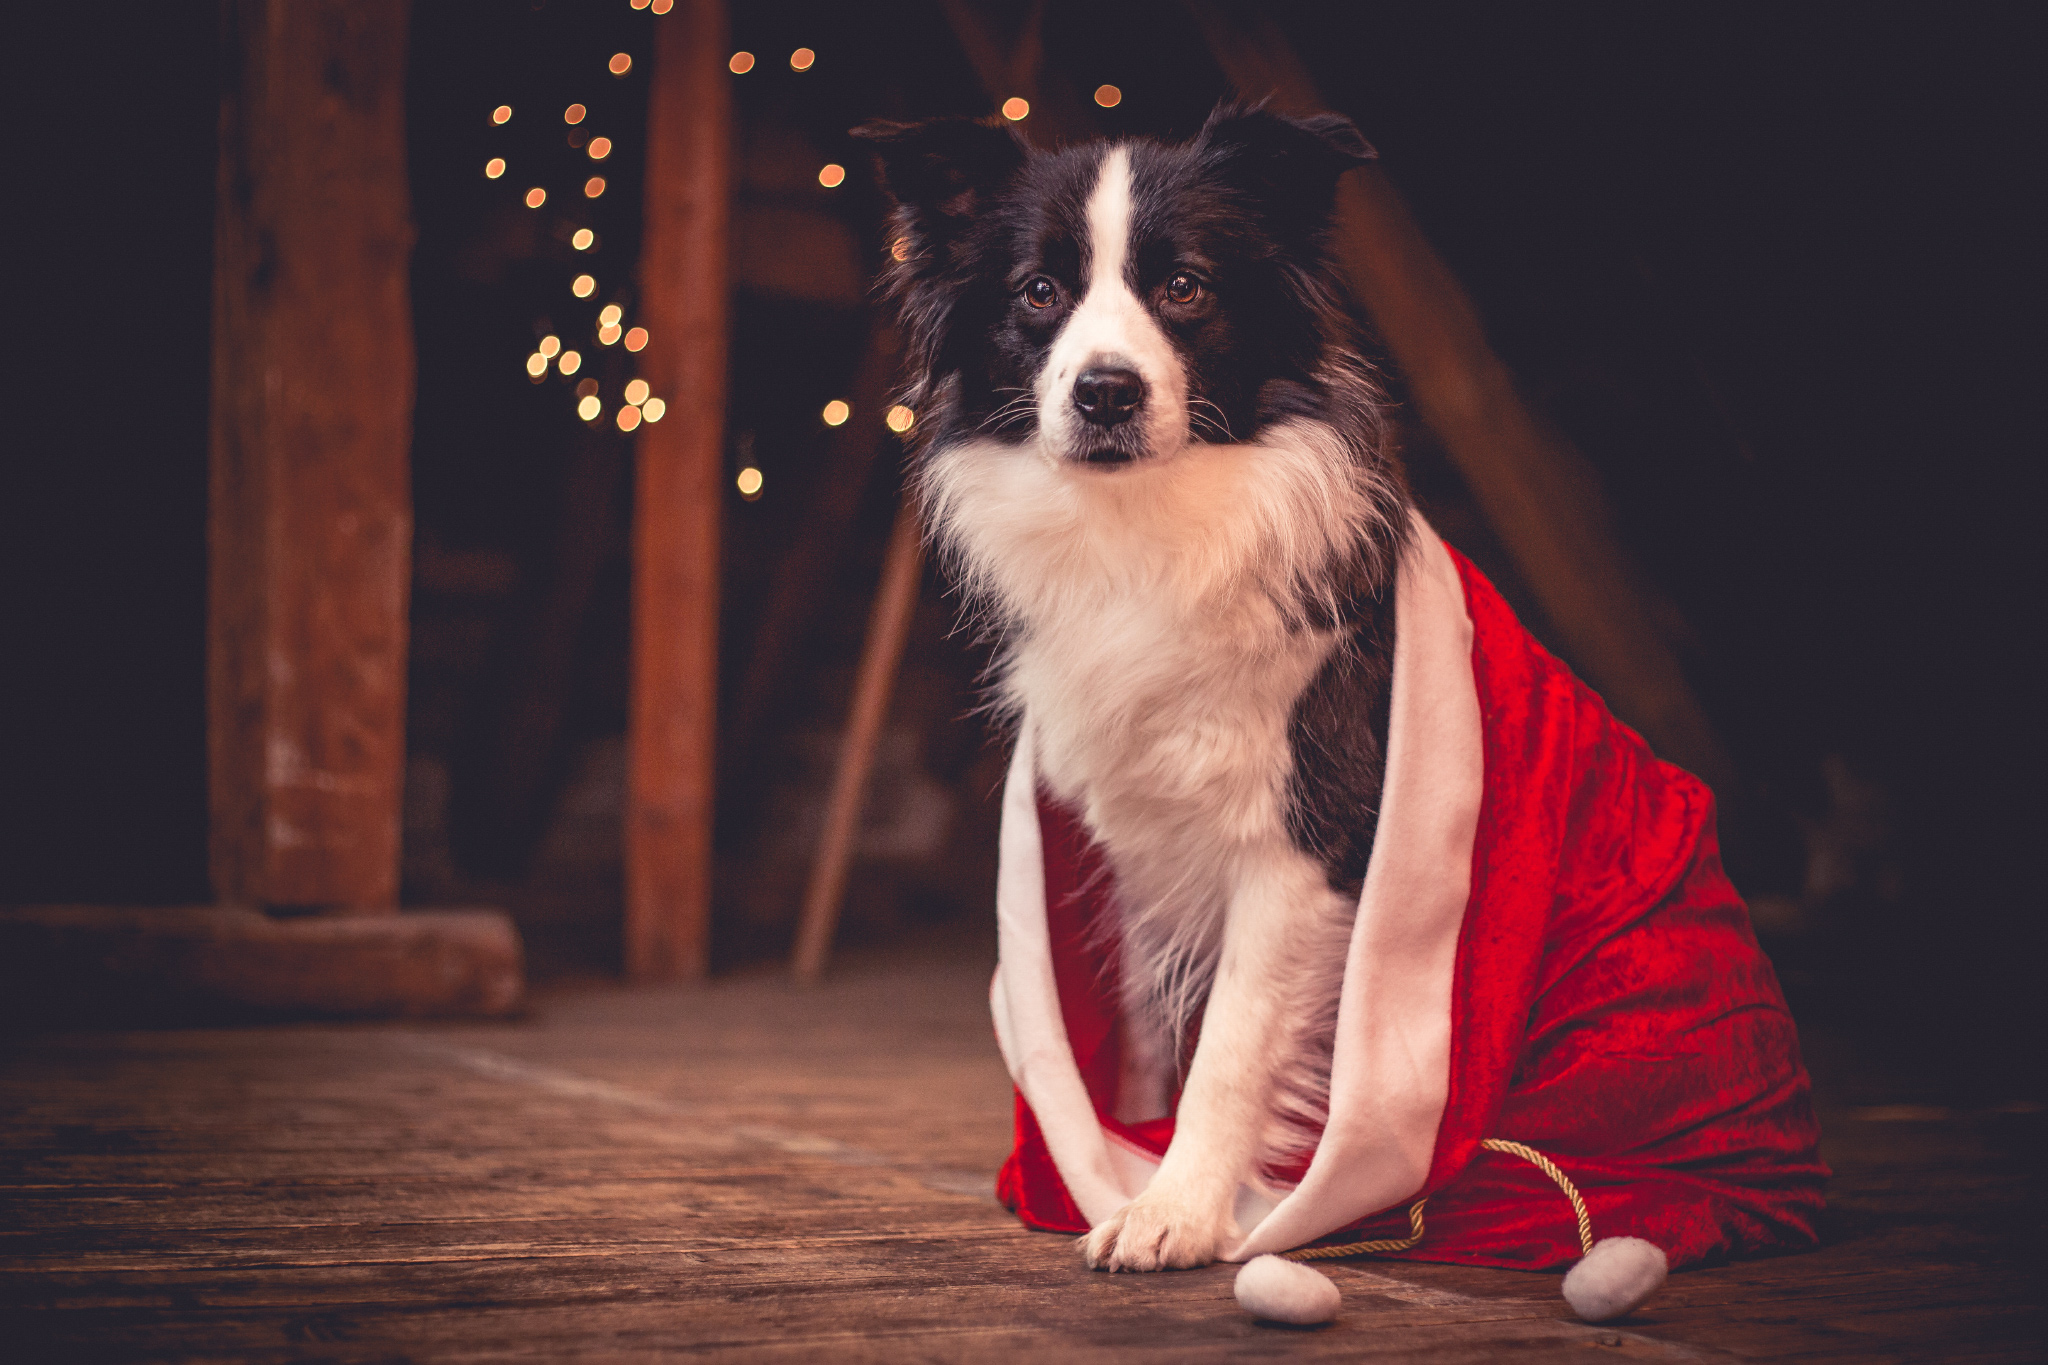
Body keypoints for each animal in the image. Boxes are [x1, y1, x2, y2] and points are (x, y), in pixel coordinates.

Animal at [856, 104, 1417, 1268]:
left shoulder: (1304, 837)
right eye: (1037, 292)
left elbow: (1232, 1046)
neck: (1148, 532)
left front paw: (1178, 1208)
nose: (1105, 390)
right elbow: (1159, 1036)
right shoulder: (1138, 844)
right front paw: (1131, 1163)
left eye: (1186, 286)